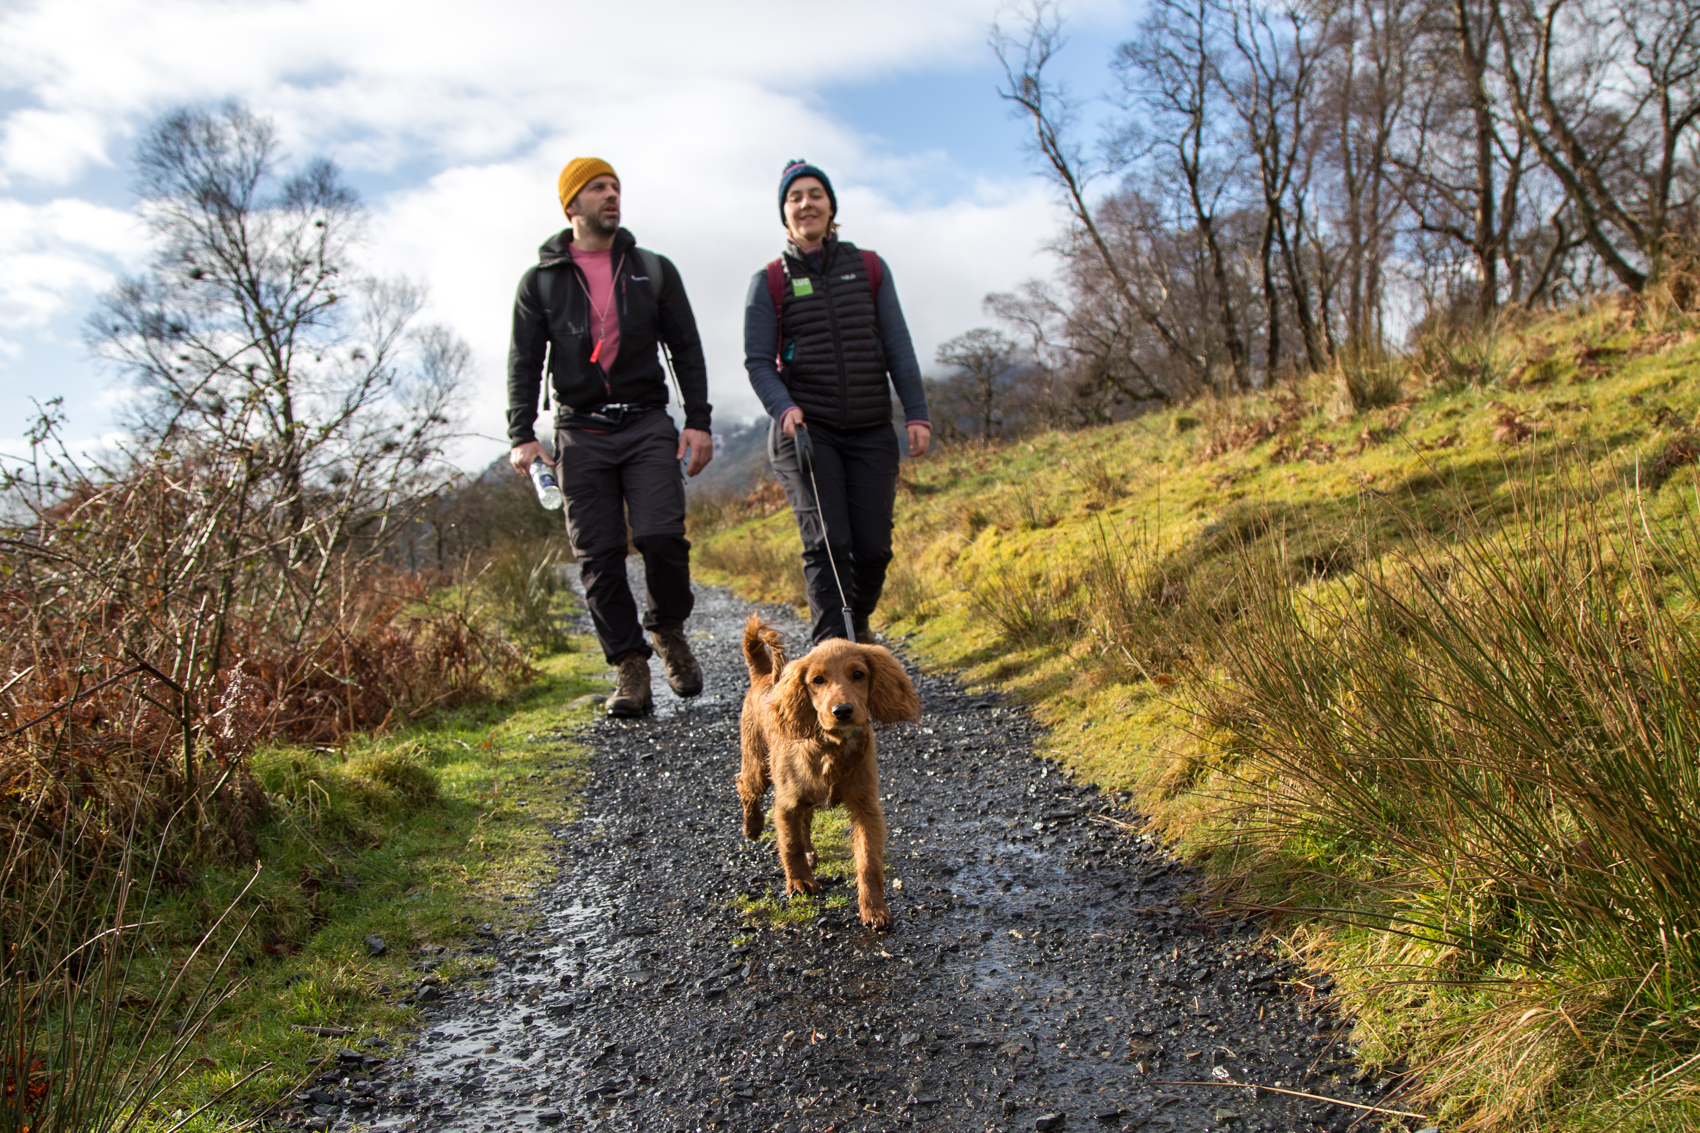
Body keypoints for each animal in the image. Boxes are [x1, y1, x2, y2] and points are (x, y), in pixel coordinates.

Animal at [737, 615, 921, 930]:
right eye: (817, 680)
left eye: (858, 674)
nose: (842, 711)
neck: (832, 746)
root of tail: (762, 675)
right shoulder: (786, 803)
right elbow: (790, 844)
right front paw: (799, 882)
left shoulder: (866, 807)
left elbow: (868, 860)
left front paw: (874, 908)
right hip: (757, 764)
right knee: (745, 786)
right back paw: (752, 826)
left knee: (805, 824)